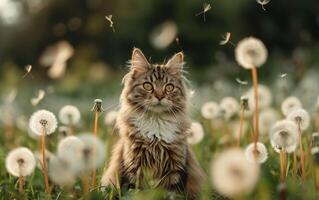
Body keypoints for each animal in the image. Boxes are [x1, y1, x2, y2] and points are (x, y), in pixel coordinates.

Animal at [102, 47, 205, 198]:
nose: (159, 96)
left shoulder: (175, 169)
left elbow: (171, 194)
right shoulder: (134, 167)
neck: (156, 126)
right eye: (147, 86)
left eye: (169, 87)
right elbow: (136, 193)